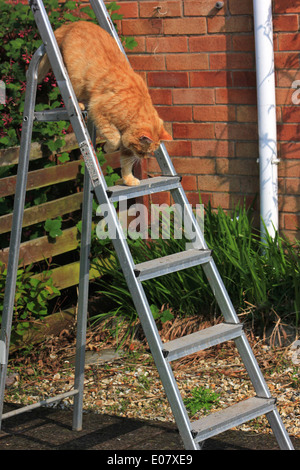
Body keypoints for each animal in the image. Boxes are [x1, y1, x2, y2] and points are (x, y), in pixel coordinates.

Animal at [38, 20, 171, 185]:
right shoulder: (99, 111)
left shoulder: (127, 142)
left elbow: (126, 163)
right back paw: (80, 104)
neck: (135, 108)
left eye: (151, 152)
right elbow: (115, 139)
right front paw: (108, 149)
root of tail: (75, 23)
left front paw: (129, 180)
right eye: (143, 151)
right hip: (76, 78)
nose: (143, 158)